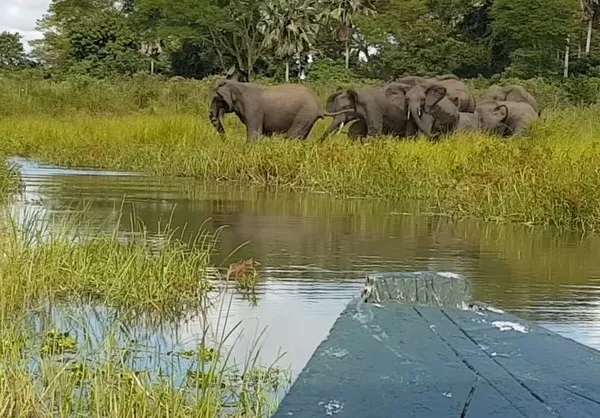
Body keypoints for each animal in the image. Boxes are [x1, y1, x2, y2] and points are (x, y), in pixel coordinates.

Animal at [211, 79, 352, 141]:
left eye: (217, 98)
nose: (227, 140)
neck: (237, 84)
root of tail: (319, 107)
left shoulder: (252, 108)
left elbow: (254, 133)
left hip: (304, 115)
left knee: (292, 136)